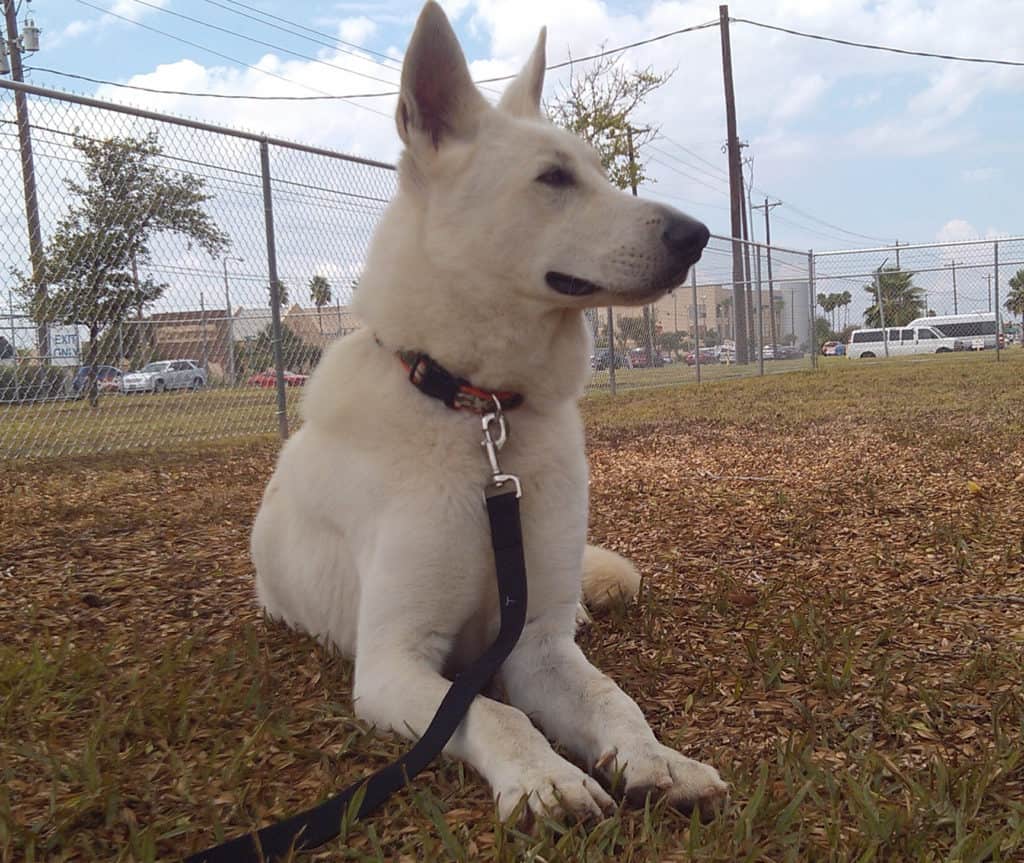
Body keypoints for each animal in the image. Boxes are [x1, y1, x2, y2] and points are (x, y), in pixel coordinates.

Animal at [250, 0, 724, 823]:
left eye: (601, 171)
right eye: (553, 178)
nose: (694, 235)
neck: (478, 415)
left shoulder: (535, 645)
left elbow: (614, 699)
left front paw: (659, 761)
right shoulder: (395, 662)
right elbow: (491, 712)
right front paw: (546, 779)